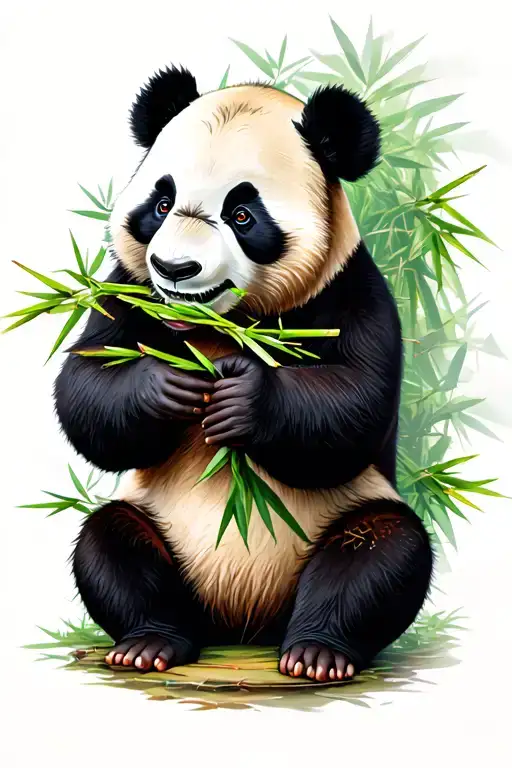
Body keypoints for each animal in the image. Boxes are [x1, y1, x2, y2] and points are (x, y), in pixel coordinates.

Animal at [54, 65, 433, 683]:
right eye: (162, 202)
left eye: (242, 215)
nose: (174, 268)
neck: (218, 326)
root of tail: (242, 620)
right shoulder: (129, 290)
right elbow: (88, 382)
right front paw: (170, 385)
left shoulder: (353, 289)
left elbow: (355, 401)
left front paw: (241, 396)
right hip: (155, 522)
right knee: (111, 544)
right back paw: (149, 643)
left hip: (349, 515)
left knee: (380, 554)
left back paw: (318, 652)